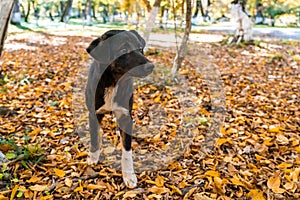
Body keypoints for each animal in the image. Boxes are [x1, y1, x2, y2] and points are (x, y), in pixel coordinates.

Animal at [85, 29, 154, 188]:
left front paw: (129, 175)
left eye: (140, 49)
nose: (151, 66)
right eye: (123, 50)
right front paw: (93, 156)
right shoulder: (93, 114)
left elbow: (127, 151)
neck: (113, 83)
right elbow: (94, 138)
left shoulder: (126, 115)